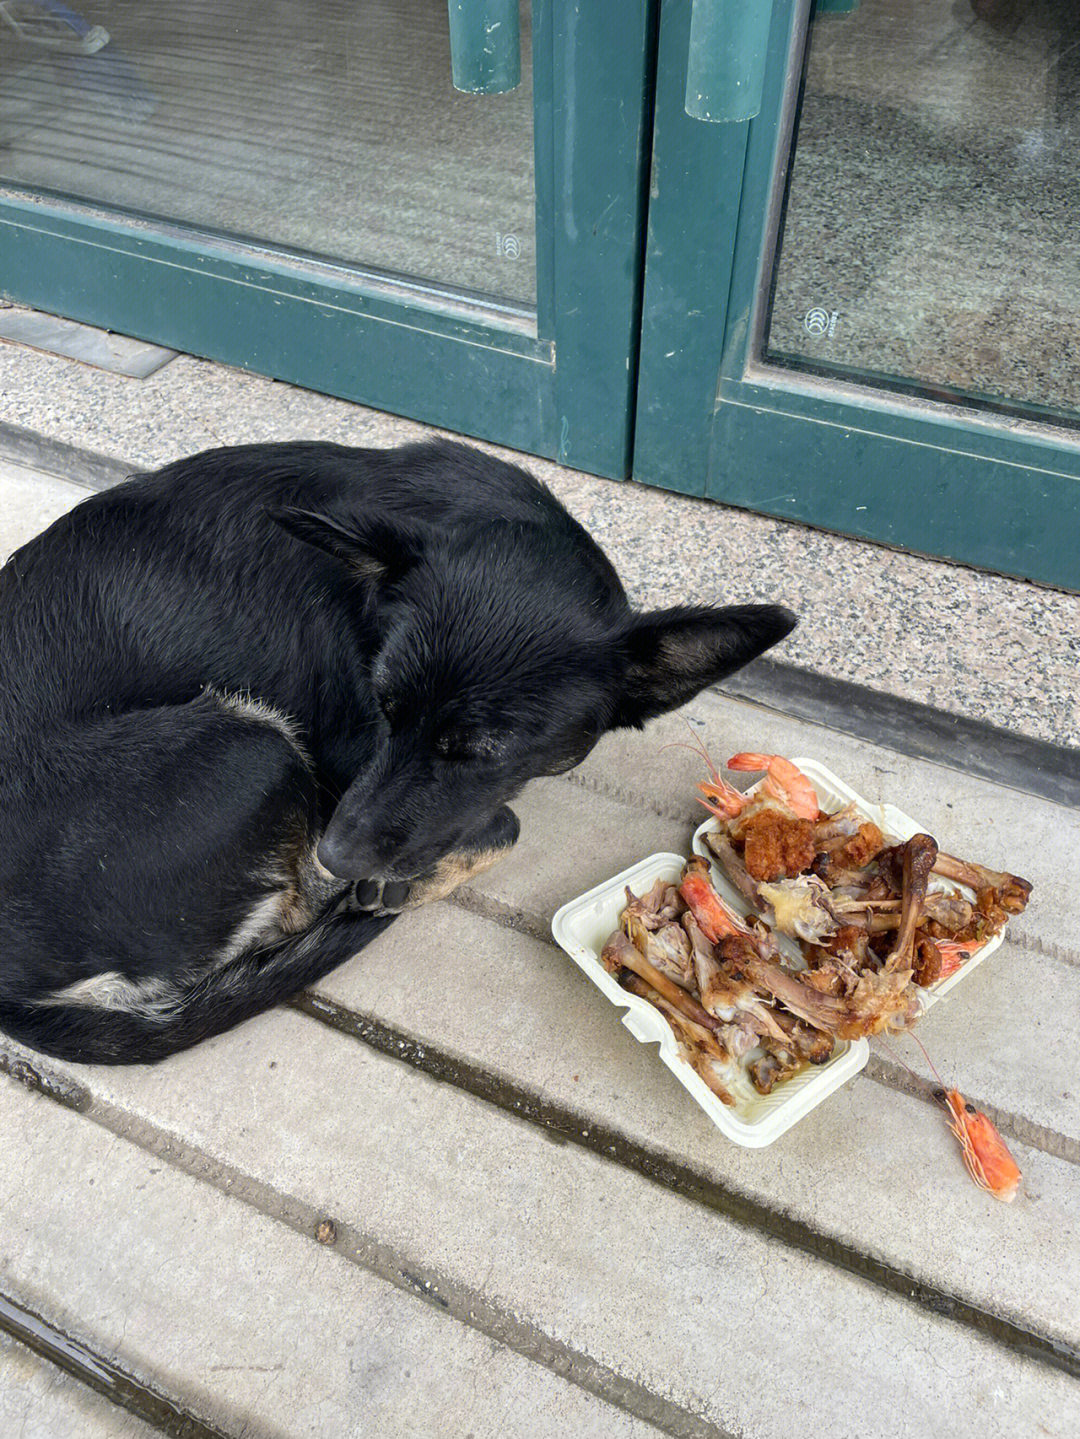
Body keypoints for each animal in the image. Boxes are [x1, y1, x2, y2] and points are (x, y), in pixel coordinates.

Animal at [0, 440, 793, 1070]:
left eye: (479, 751)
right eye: (383, 705)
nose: (334, 855)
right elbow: (505, 824)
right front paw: (409, 877)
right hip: (257, 748)